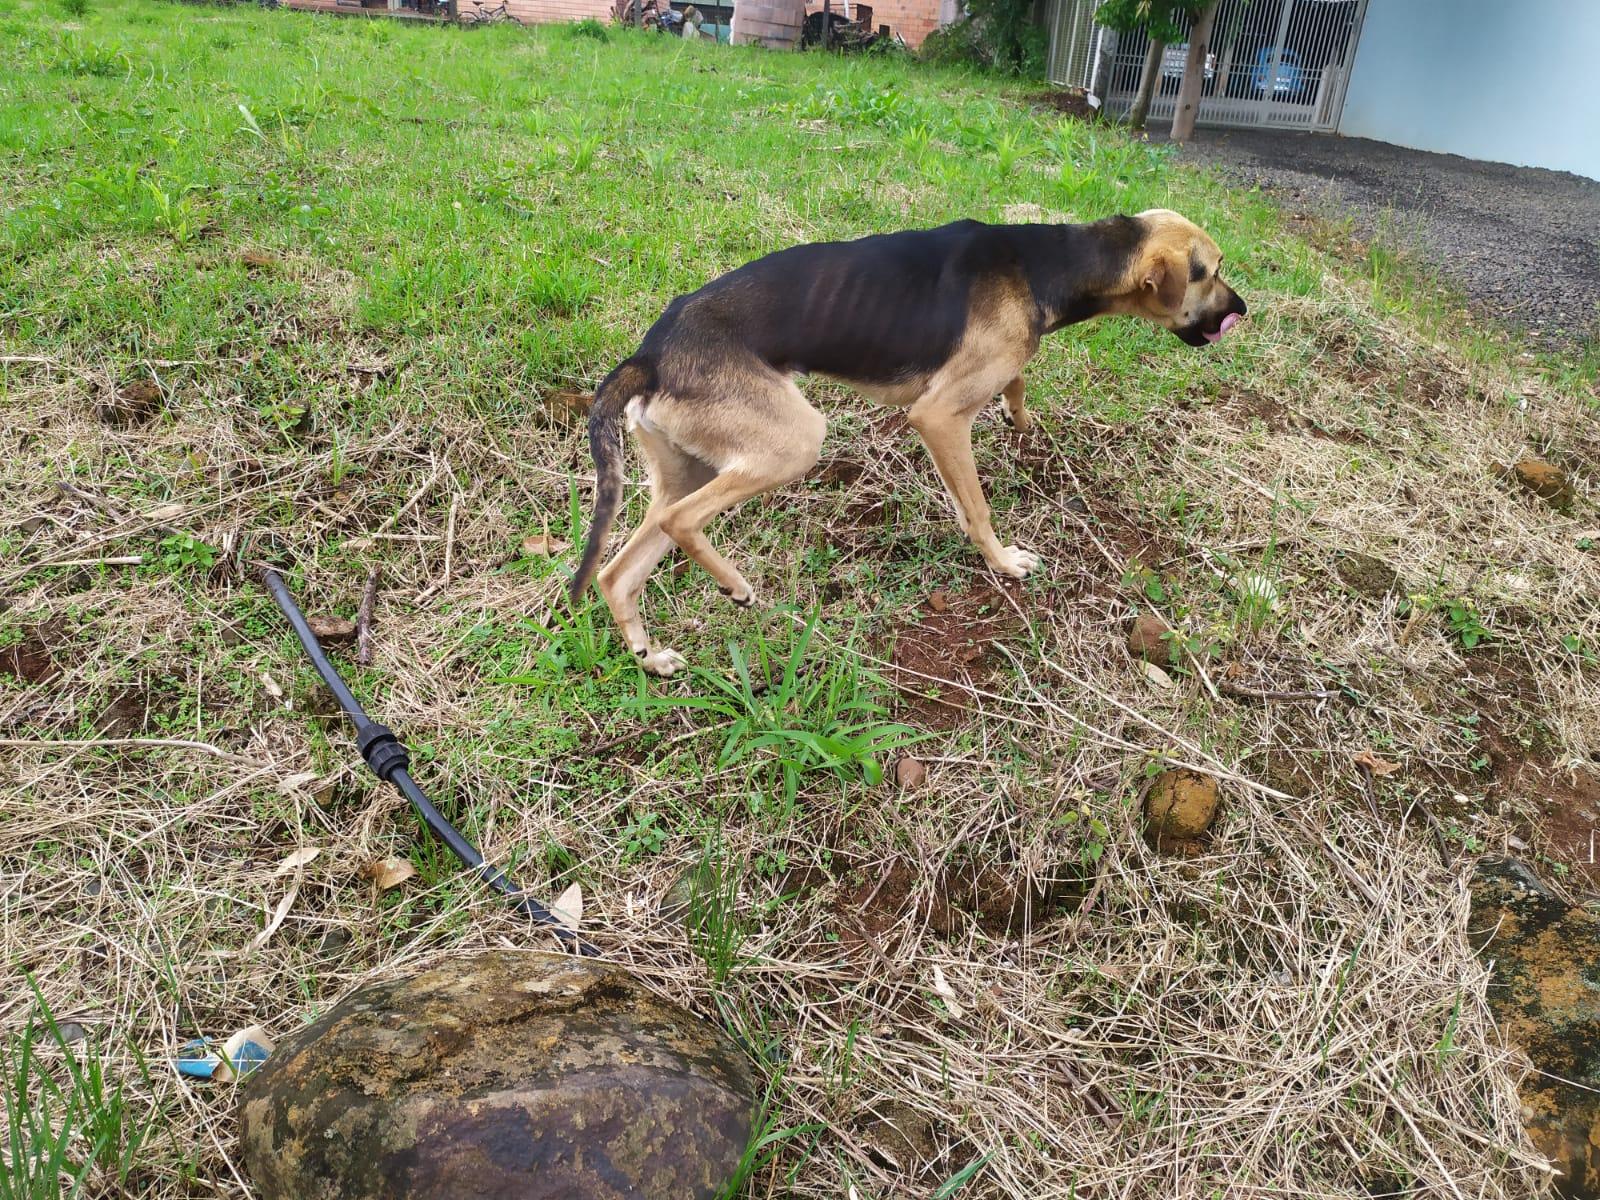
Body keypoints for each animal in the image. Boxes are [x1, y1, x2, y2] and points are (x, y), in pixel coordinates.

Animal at [569, 209, 1241, 678]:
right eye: (1212, 271)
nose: (1243, 309)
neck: (1051, 261)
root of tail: (650, 354)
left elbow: (1010, 398)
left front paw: (1018, 420)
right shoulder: (939, 418)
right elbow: (978, 509)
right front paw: (1002, 564)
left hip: (689, 467)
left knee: (618, 573)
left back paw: (651, 656)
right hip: (792, 443)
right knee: (682, 522)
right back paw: (734, 585)